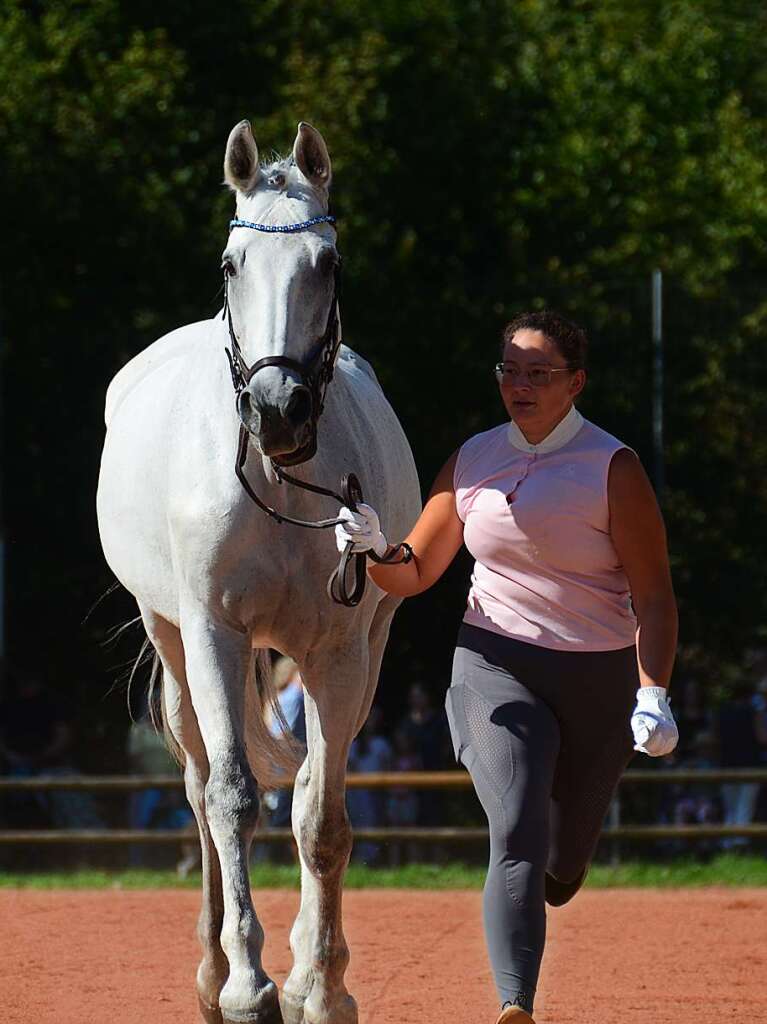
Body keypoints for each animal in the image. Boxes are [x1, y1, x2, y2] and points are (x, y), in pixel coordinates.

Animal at [97, 121, 419, 1024]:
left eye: (327, 263)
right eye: (230, 264)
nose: (278, 408)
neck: (277, 480)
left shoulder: (340, 651)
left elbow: (321, 817)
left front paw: (322, 987)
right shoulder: (213, 632)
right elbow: (234, 798)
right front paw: (247, 986)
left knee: (306, 785)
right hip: (171, 638)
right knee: (200, 785)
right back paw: (212, 975)